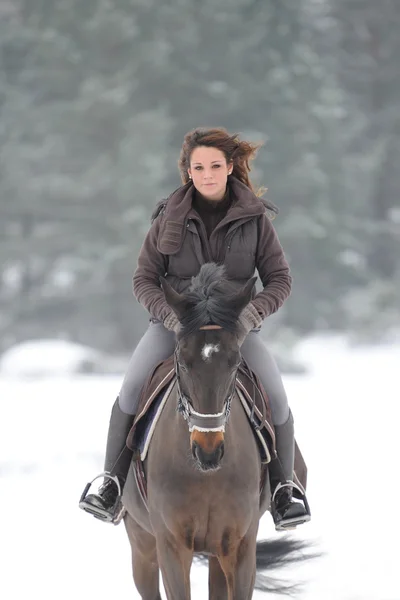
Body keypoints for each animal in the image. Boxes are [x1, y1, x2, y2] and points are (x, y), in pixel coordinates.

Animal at [122, 264, 310, 600]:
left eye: (235, 363)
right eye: (183, 362)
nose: (208, 451)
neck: (205, 475)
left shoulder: (239, 546)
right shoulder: (171, 545)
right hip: (141, 545)